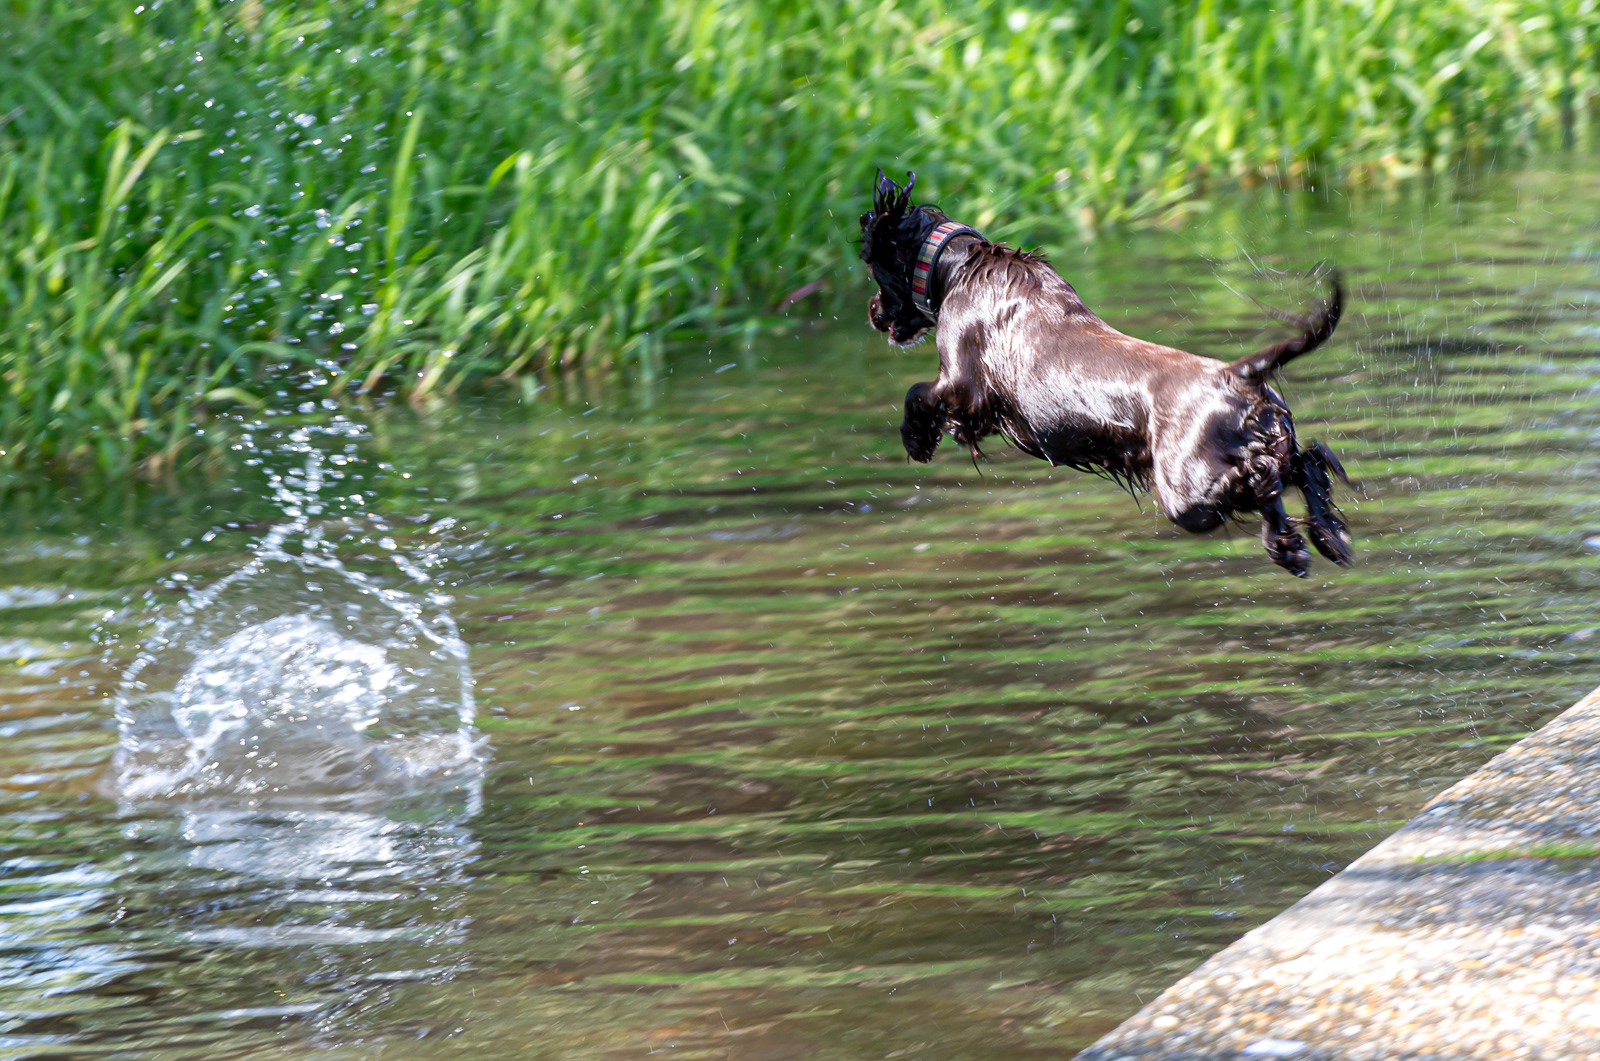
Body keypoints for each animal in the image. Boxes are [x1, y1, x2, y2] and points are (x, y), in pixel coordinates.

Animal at [858, 171, 1352, 577]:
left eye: (875, 270)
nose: (873, 312)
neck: (959, 265)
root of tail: (1239, 373)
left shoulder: (964, 385)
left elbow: (919, 393)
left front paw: (916, 440)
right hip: (1262, 439)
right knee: (1304, 460)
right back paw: (1326, 538)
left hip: (1186, 490)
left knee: (1265, 476)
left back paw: (1293, 543)